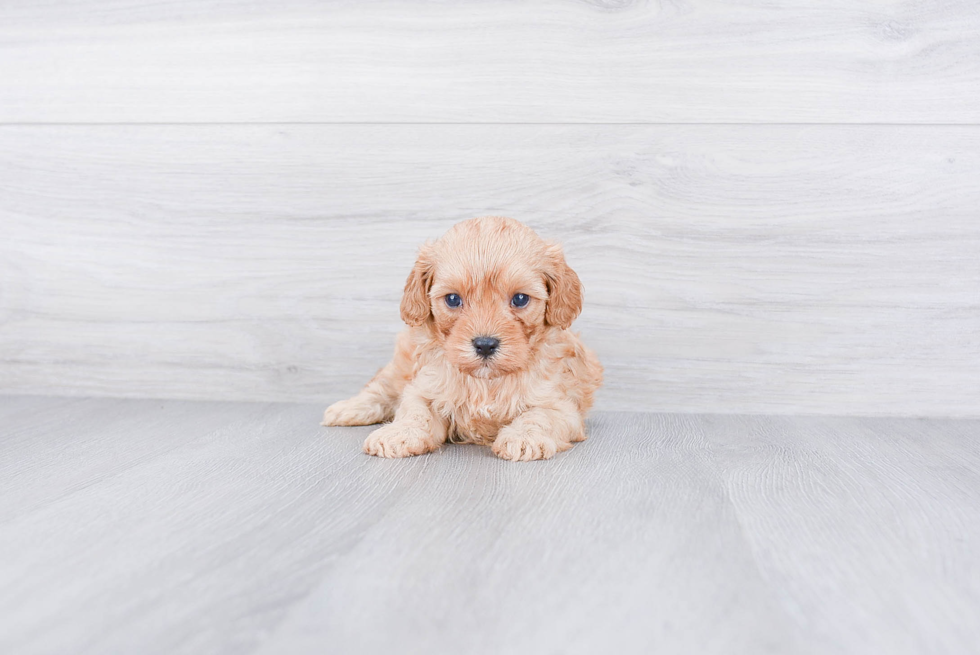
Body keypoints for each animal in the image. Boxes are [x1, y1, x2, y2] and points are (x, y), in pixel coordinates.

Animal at [322, 217, 600, 462]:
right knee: (380, 388)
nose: (485, 345)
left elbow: (540, 416)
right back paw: (346, 409)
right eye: (453, 299)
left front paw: (523, 438)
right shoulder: (424, 387)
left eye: (520, 299)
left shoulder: (561, 405)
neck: (485, 382)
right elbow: (415, 411)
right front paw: (398, 433)